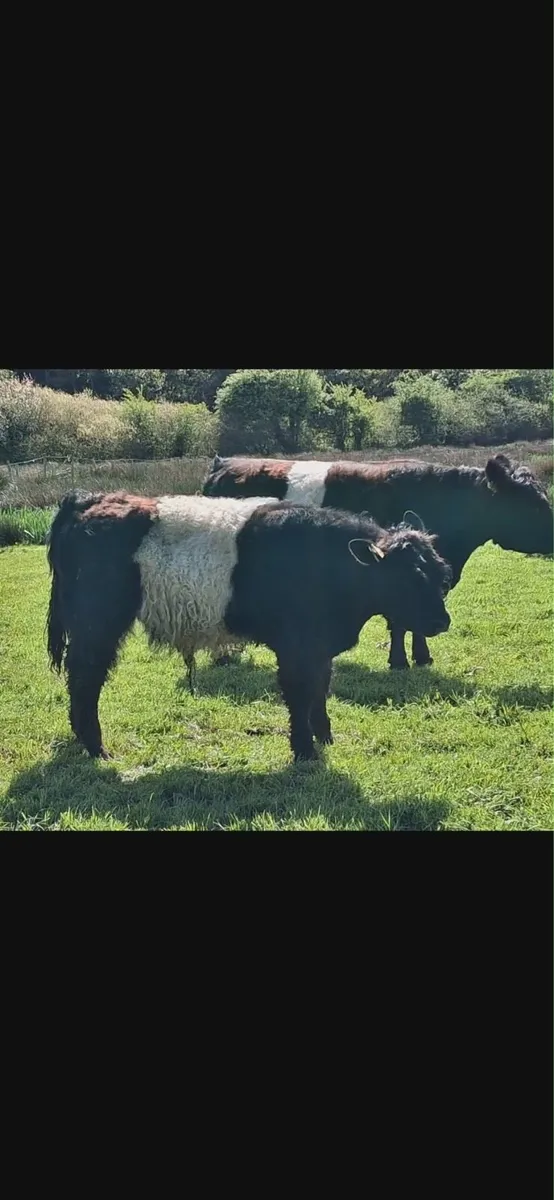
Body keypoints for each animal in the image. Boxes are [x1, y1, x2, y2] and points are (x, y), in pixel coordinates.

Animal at [46, 491, 452, 763]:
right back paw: (96, 747)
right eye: (409, 578)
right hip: (97, 624)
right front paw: (304, 751)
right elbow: (300, 695)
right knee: (86, 678)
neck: (327, 563)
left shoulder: (319, 647)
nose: (442, 621)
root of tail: (88, 499)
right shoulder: (296, 649)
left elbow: (321, 689)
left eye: (440, 572)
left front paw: (324, 736)